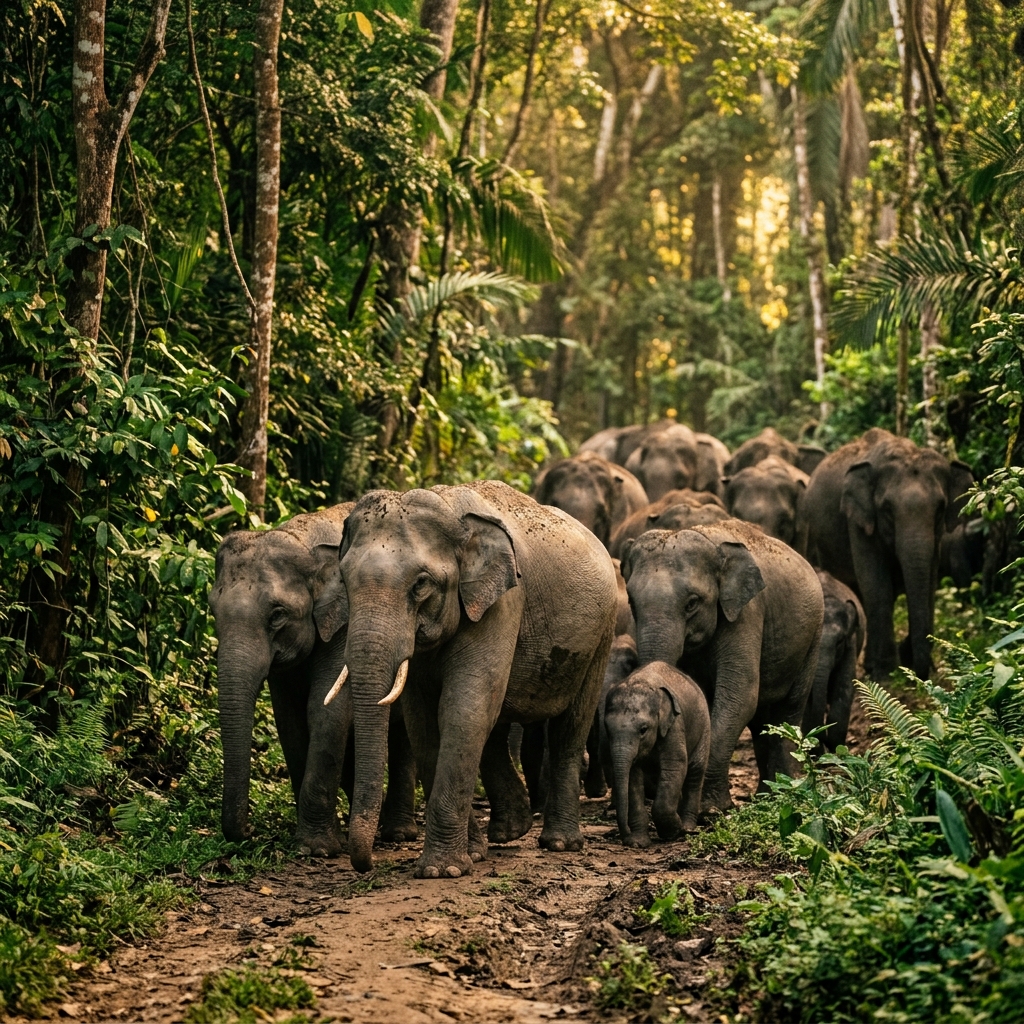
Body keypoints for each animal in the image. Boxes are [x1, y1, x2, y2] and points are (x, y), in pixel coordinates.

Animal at [209, 504, 417, 855]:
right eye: (213, 613)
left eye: (277, 615)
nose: (249, 832)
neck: (302, 541)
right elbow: (289, 720)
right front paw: (318, 842)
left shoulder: (342, 626)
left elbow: (325, 712)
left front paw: (318, 849)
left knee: (402, 738)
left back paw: (398, 834)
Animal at [335, 480, 618, 877]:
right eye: (344, 581)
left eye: (420, 584)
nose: (366, 864)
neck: (450, 510)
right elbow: (424, 721)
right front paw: (471, 855)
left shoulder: (504, 602)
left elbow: (464, 708)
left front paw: (442, 871)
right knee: (495, 726)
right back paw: (508, 832)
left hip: (601, 635)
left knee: (570, 726)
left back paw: (559, 843)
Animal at [601, 661, 710, 846]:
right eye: (607, 730)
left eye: (643, 729)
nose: (625, 838)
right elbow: (633, 776)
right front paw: (638, 843)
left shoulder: (675, 725)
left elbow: (675, 766)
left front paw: (673, 832)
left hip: (704, 727)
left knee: (695, 773)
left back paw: (688, 827)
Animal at [621, 520, 824, 812]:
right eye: (631, 603)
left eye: (692, 603)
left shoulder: (747, 613)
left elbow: (740, 696)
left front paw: (711, 809)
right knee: (762, 721)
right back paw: (764, 795)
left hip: (812, 639)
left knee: (788, 709)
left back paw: (782, 793)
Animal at [799, 428, 974, 681]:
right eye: (887, 509)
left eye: (940, 508)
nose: (921, 674)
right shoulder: (859, 520)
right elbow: (876, 582)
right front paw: (885, 673)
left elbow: (929, 581)